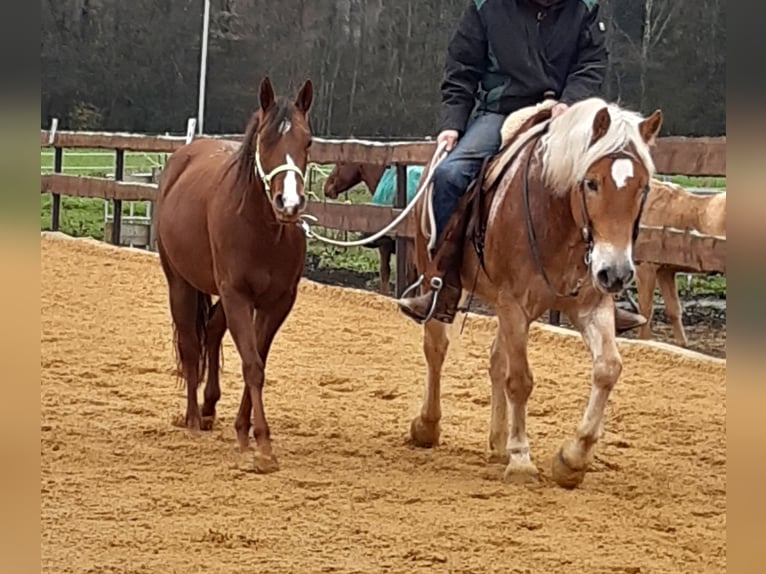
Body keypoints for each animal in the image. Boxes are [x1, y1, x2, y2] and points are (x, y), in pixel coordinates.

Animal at [155, 76, 314, 473]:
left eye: (307, 141)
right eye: (265, 139)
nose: (289, 204)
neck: (262, 229)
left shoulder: (277, 302)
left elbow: (257, 359)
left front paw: (244, 430)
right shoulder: (238, 295)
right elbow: (252, 364)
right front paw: (263, 446)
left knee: (211, 333)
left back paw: (209, 408)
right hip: (180, 283)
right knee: (191, 345)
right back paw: (192, 419)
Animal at [406, 97, 664, 489]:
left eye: (643, 188)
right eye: (592, 183)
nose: (617, 273)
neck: (558, 219)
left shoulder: (591, 306)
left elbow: (607, 368)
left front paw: (572, 460)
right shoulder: (515, 305)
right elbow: (520, 380)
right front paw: (522, 461)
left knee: (496, 360)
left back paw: (498, 444)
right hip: (441, 284)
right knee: (437, 347)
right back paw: (428, 426)